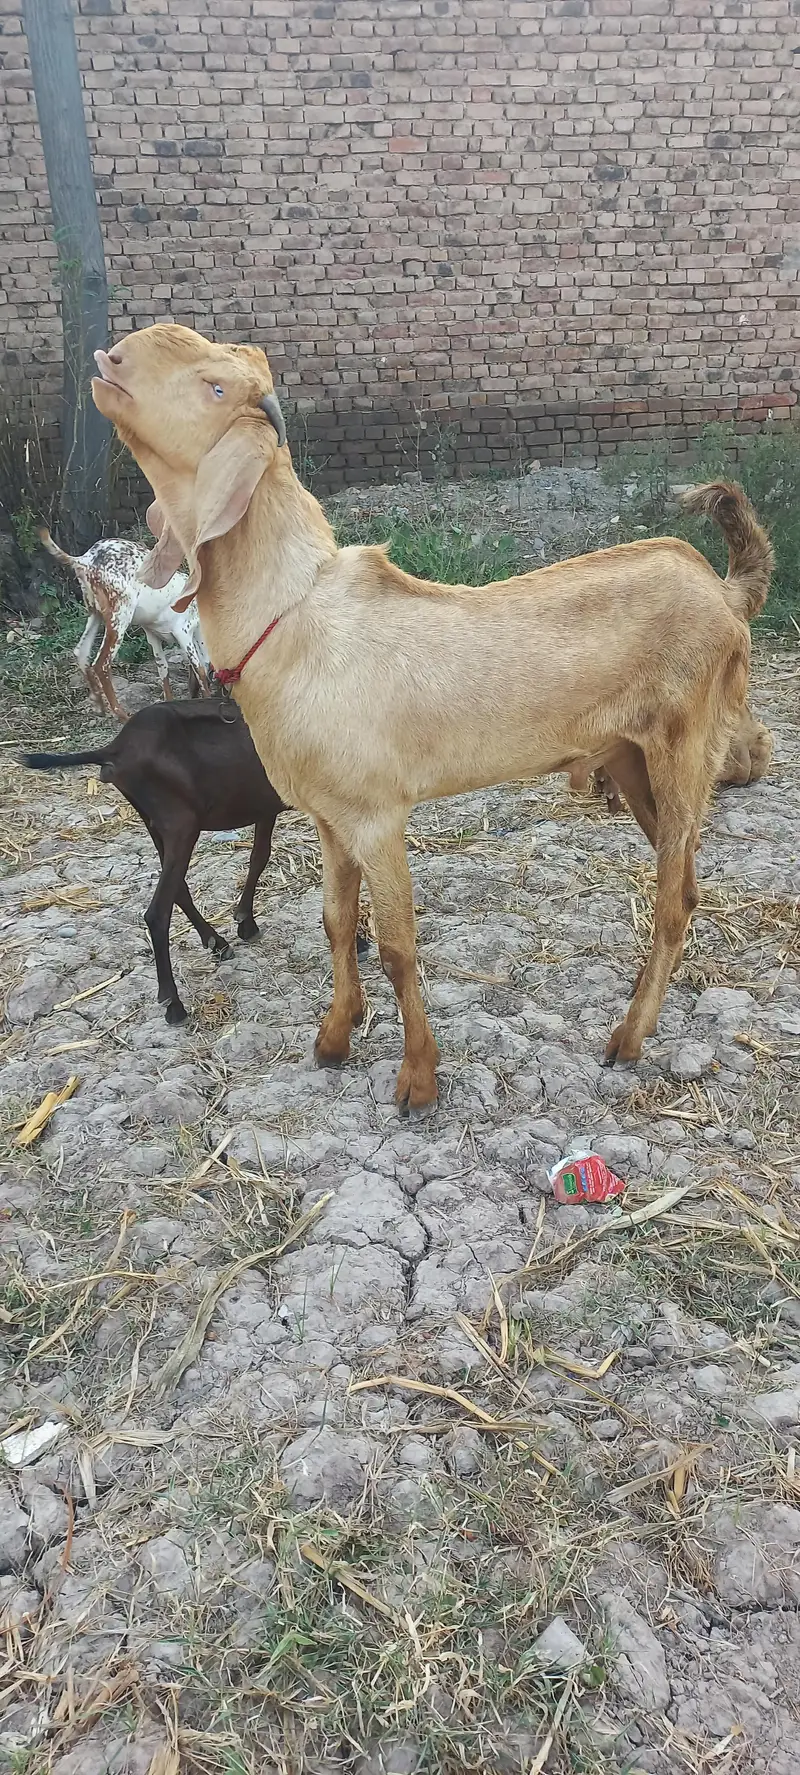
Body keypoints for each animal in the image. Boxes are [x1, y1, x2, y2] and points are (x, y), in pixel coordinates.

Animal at [38, 528, 210, 722]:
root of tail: (84, 560)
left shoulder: (152, 635)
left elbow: (164, 671)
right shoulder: (183, 631)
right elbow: (200, 669)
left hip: (95, 614)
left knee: (81, 652)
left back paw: (98, 705)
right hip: (120, 616)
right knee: (101, 664)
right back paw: (122, 715)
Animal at [91, 324, 773, 1109]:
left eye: (214, 387)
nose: (114, 357)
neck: (294, 615)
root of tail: (724, 592)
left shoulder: (378, 814)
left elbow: (395, 944)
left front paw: (418, 1078)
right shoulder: (330, 816)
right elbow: (336, 923)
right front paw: (333, 1039)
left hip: (686, 745)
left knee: (671, 899)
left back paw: (627, 1038)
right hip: (630, 756)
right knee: (684, 880)